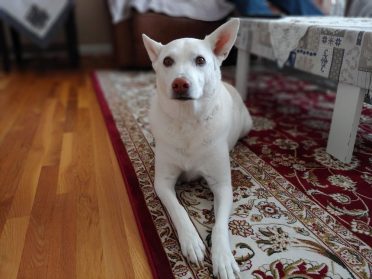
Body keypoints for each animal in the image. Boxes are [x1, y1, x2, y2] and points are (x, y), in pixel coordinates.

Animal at [142, 18, 253, 278]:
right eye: (167, 61)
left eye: (200, 60)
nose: (180, 83)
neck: (188, 121)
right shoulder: (162, 182)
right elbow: (178, 210)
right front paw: (192, 241)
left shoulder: (222, 186)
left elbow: (220, 225)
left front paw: (223, 258)